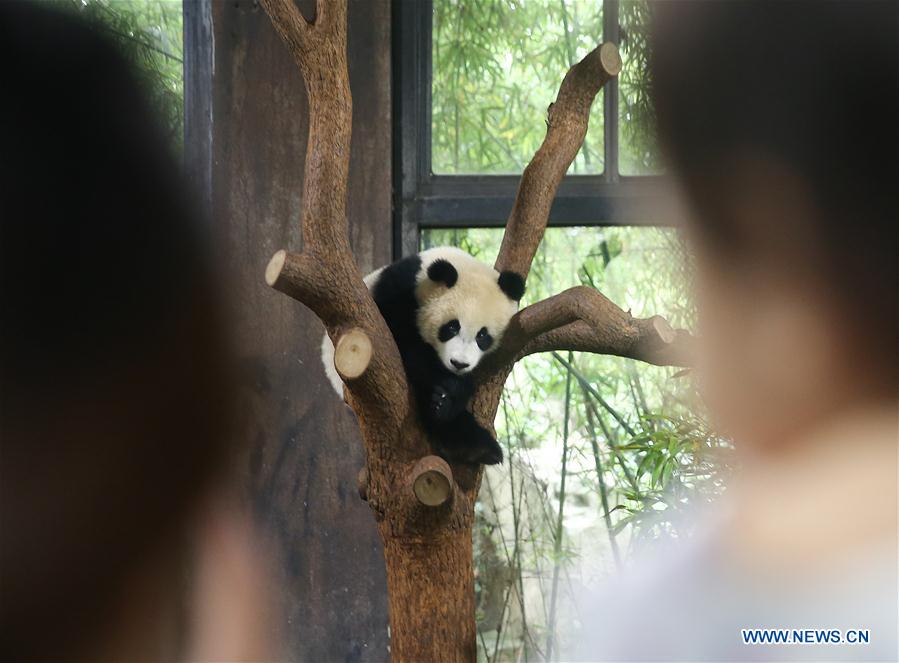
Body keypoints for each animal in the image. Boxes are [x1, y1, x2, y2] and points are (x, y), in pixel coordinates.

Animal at [321, 247, 526, 465]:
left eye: (482, 335)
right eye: (452, 327)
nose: (459, 364)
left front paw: (451, 394)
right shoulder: (395, 293)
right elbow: (403, 343)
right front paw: (448, 390)